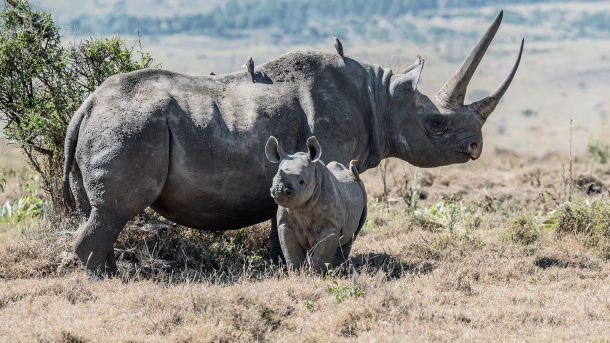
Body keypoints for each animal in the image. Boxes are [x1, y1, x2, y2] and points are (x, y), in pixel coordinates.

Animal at [262, 136, 366, 272]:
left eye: (302, 182)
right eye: (273, 179)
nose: (279, 191)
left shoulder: (331, 224)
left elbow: (321, 255)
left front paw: (318, 274)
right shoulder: (284, 223)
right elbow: (291, 253)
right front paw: (296, 274)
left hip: (363, 194)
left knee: (351, 237)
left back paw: (337, 270)